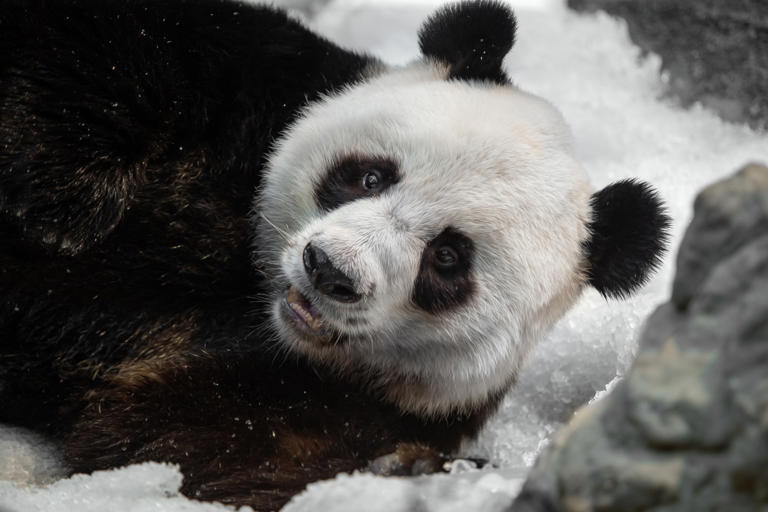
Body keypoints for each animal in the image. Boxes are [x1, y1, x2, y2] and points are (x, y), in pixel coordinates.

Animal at [0, 0, 668, 510]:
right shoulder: (253, 77)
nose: (330, 270)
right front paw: (64, 201)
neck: (250, 294)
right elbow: (109, 50)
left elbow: (180, 446)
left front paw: (405, 471)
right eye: (371, 177)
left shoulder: (364, 403)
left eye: (448, 259)